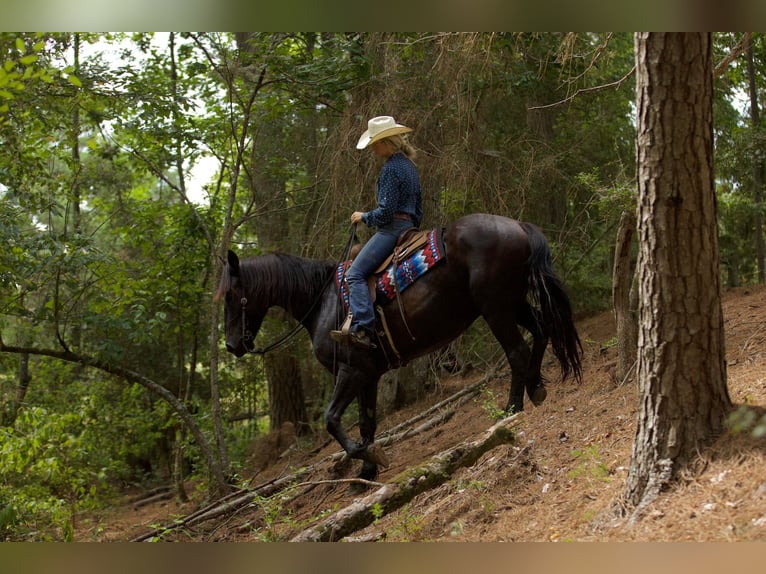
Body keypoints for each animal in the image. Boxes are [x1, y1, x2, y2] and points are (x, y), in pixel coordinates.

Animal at [216, 214, 584, 484]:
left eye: (232, 296)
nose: (232, 345)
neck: (322, 300)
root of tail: (517, 226)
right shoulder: (368, 375)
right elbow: (366, 422)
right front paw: (366, 472)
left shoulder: (351, 370)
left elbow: (332, 420)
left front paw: (370, 458)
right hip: (513, 303)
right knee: (542, 330)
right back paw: (536, 387)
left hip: (495, 308)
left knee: (517, 351)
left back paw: (510, 410)